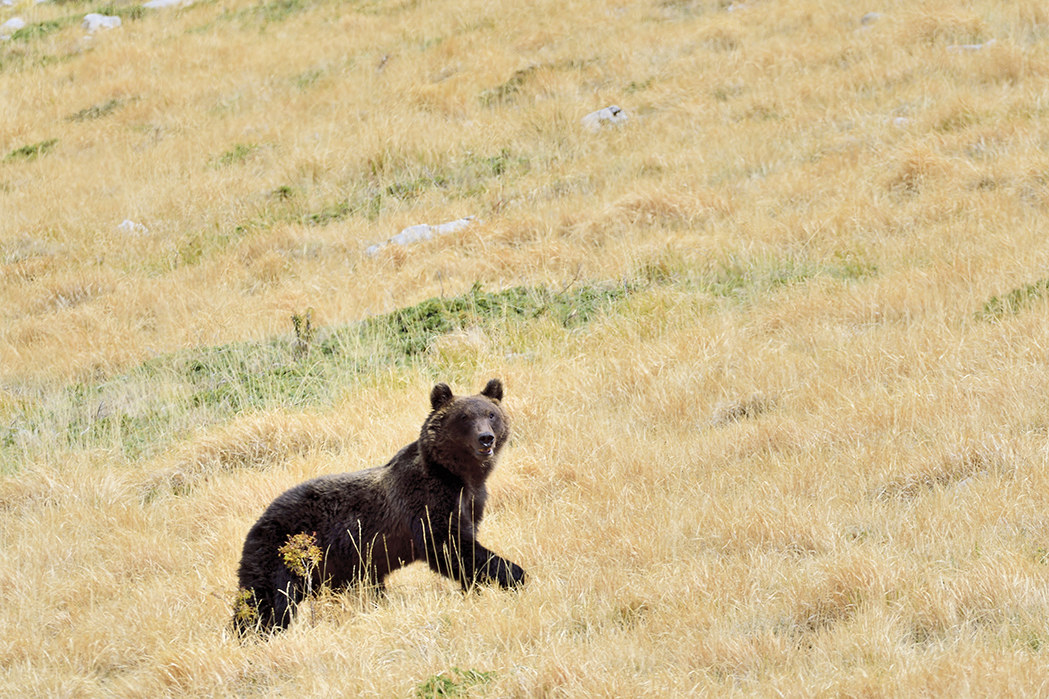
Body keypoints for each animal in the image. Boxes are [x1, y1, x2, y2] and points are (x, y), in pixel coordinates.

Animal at [233, 378, 526, 634]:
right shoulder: (426, 502)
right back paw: (253, 633)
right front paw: (515, 576)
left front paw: (476, 589)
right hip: (285, 551)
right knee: (267, 598)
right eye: (464, 417)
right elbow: (448, 546)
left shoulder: (471, 503)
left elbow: (463, 548)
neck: (459, 476)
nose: (486, 438)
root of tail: (259, 519)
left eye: (491, 414)